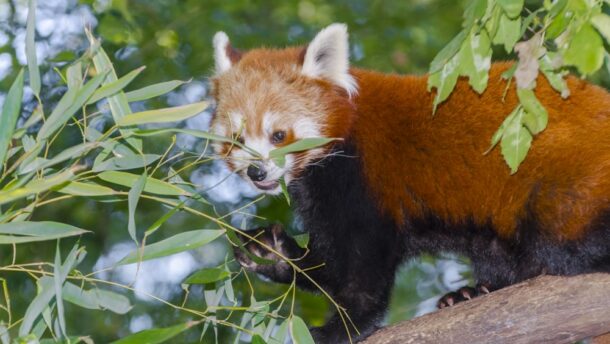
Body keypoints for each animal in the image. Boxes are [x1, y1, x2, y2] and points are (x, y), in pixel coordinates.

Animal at [208, 23, 608, 342]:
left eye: (278, 135)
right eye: (238, 138)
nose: (257, 172)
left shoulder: (363, 179)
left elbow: (364, 268)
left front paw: (344, 326)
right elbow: (331, 264)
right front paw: (271, 253)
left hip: (568, 184)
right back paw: (472, 293)